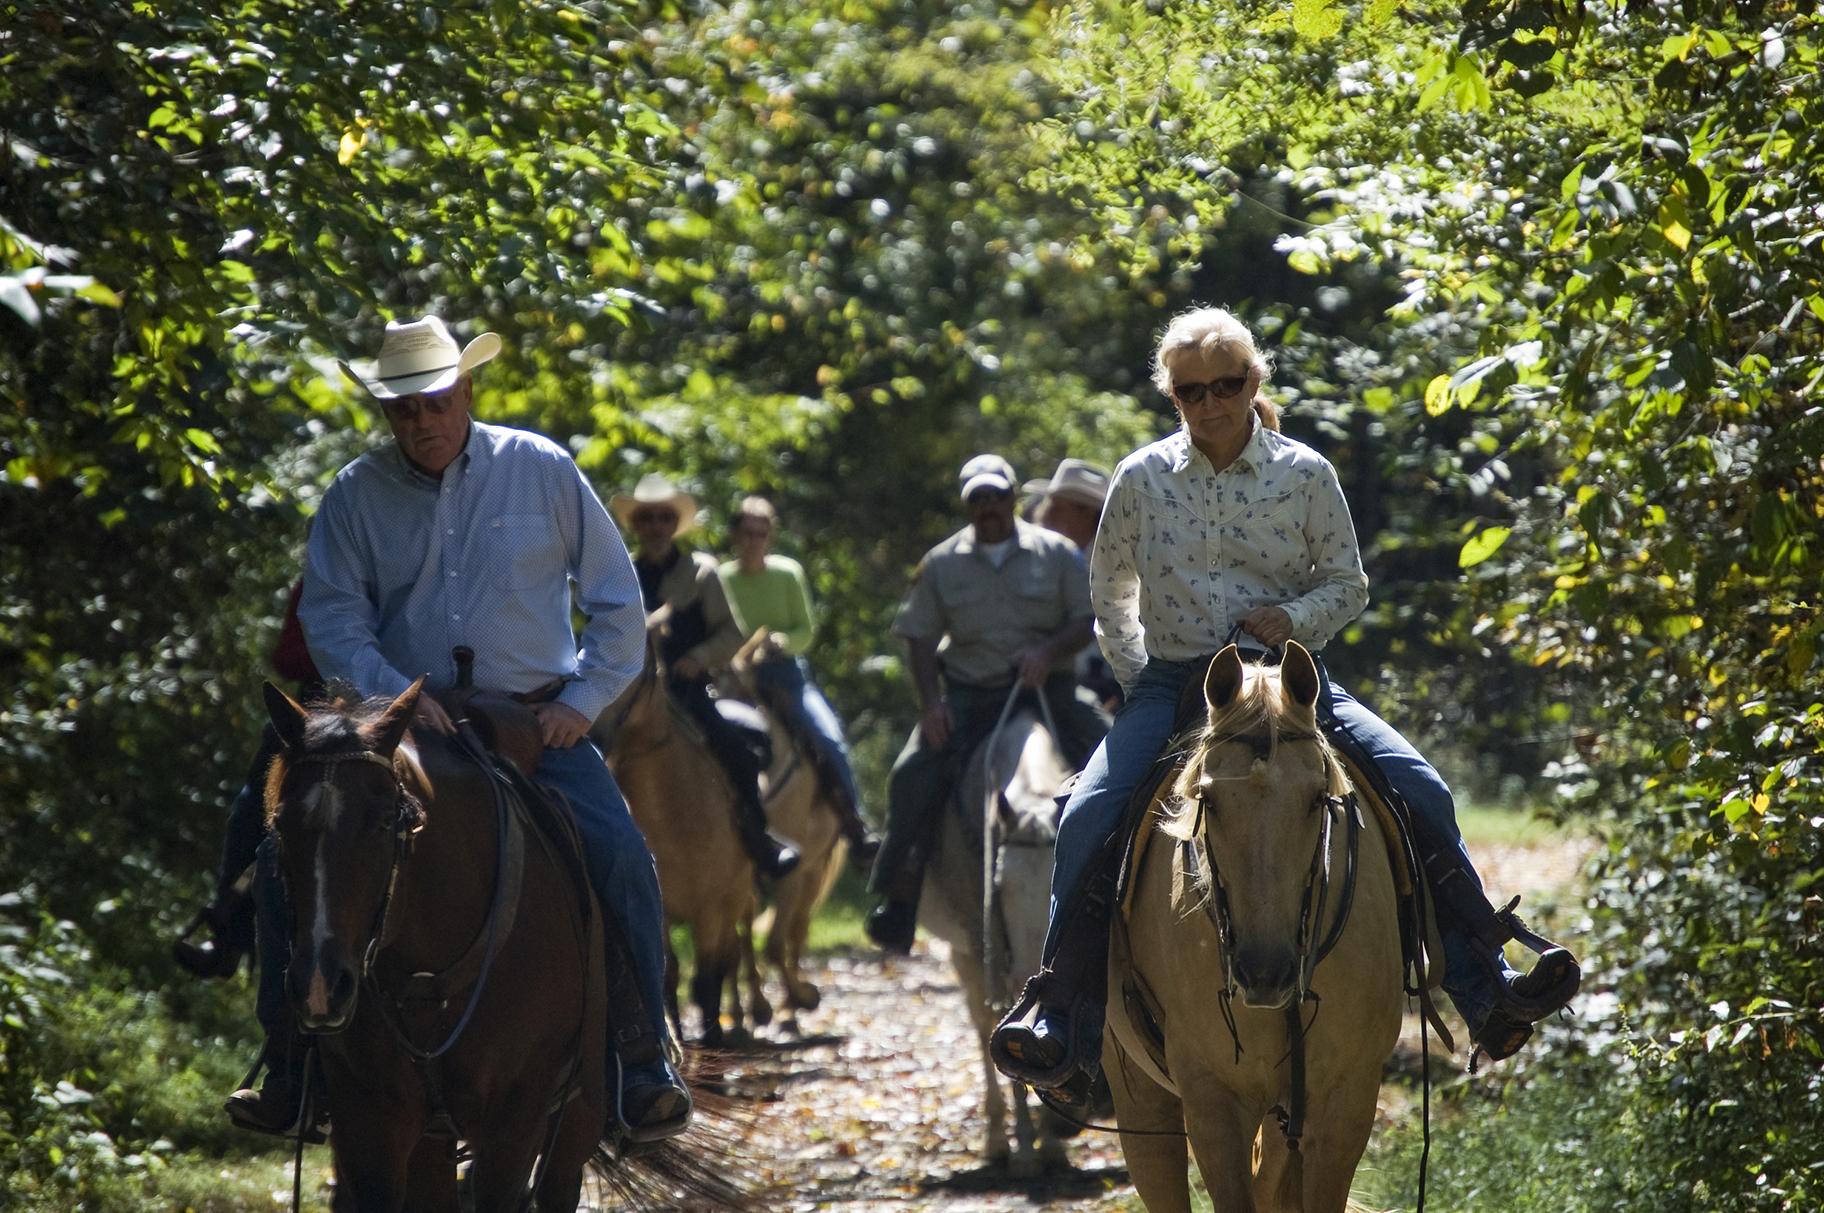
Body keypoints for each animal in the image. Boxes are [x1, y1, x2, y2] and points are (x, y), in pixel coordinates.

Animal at [262, 674, 711, 1203]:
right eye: (281, 824)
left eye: (383, 823)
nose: (320, 988)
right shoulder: (367, 1118)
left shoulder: (514, 1122)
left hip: (575, 1125)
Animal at [598, 634, 755, 1043]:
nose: (592, 734)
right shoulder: (662, 908)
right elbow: (668, 974)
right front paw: (678, 1039)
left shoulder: (711, 908)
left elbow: (707, 977)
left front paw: (712, 1038)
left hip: (734, 900)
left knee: (729, 955)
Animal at [926, 689, 1079, 1174]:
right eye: (998, 885)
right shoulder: (986, 949)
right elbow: (1001, 1025)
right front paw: (1029, 1151)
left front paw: (1051, 1144)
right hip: (965, 955)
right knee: (980, 1023)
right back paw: (996, 1140)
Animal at [1101, 649, 1400, 1211]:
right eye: (1209, 800)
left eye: (1316, 799)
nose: (1265, 974)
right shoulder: (1214, 1101)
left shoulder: (1346, 1100)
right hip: (1138, 1095)